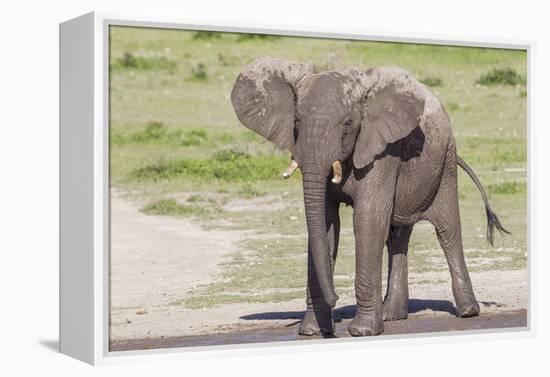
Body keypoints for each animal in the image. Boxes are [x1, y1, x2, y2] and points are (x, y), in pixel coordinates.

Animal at [230, 57, 508, 336]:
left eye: (348, 124)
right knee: (397, 236)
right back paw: (392, 315)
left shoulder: (382, 151)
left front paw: (362, 330)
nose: (336, 300)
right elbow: (326, 224)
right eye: (296, 122)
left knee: (448, 230)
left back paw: (467, 311)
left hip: (446, 162)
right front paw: (311, 331)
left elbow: (367, 220)